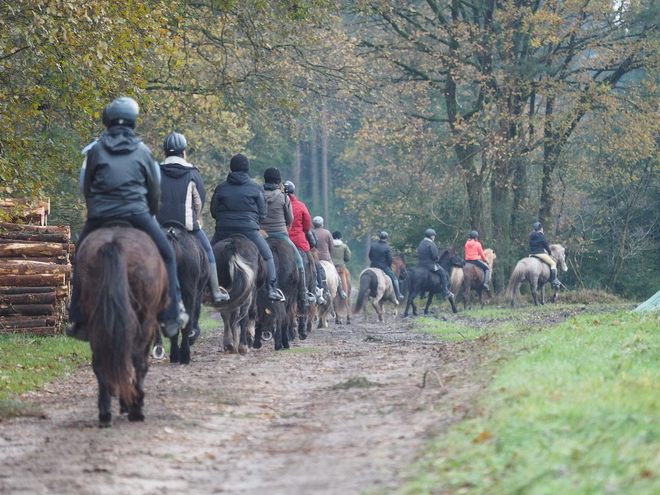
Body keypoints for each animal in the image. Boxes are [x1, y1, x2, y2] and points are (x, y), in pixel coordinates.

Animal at [75, 227, 169, 424]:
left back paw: (105, 412)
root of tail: (113, 243)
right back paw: (136, 408)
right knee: (137, 360)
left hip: (95, 320)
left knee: (101, 362)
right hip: (145, 321)